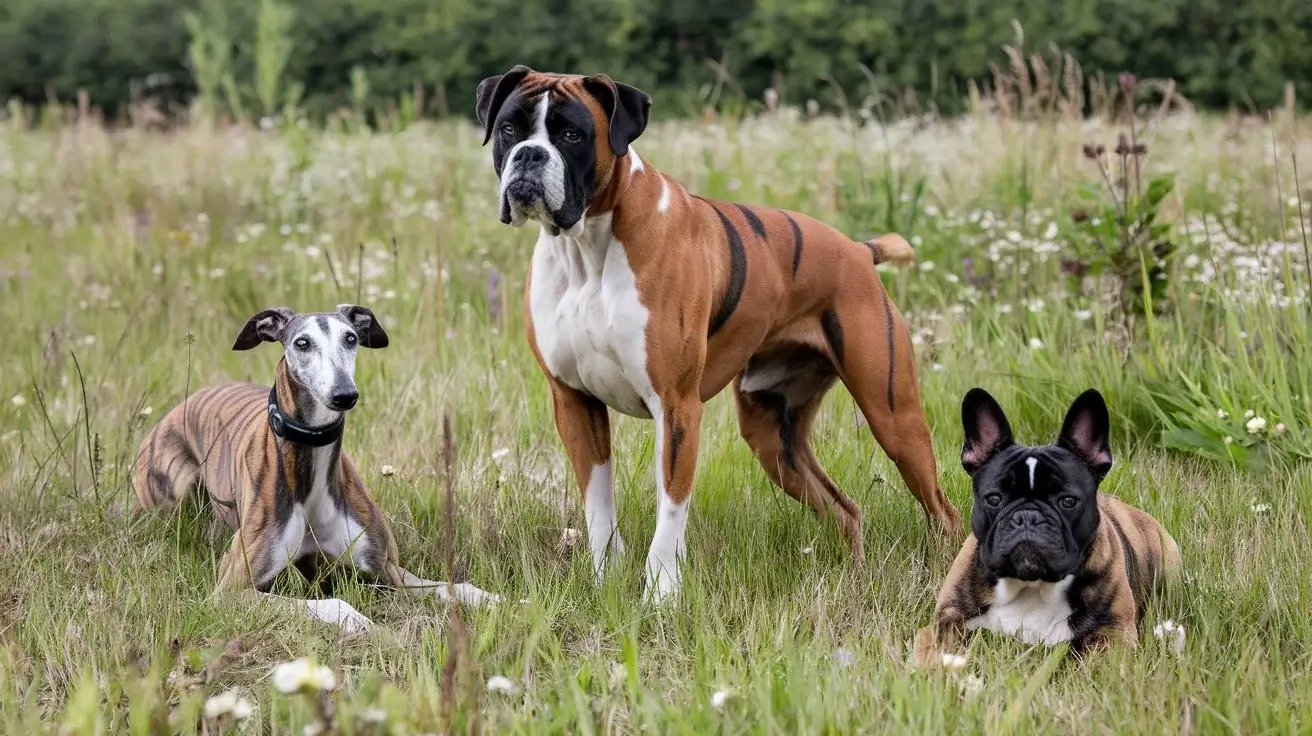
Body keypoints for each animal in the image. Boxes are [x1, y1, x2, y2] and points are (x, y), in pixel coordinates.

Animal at [134, 304, 495, 632]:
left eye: (350, 338)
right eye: (302, 343)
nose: (344, 394)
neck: (312, 466)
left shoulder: (388, 570)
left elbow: (452, 587)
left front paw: (492, 599)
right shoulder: (230, 591)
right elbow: (334, 603)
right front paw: (363, 624)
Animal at [474, 65, 965, 600]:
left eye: (571, 135)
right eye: (509, 128)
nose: (530, 155)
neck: (587, 251)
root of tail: (857, 250)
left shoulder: (676, 408)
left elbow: (670, 513)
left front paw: (661, 597)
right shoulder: (574, 403)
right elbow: (598, 507)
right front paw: (606, 581)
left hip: (894, 418)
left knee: (945, 513)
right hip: (775, 439)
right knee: (845, 509)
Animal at [913, 388, 1180, 655]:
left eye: (1068, 501)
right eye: (994, 499)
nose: (1027, 517)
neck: (1031, 585)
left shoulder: (1115, 637)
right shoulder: (944, 626)